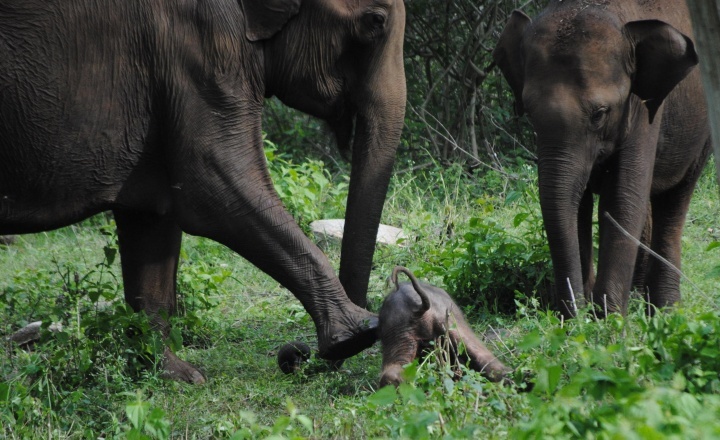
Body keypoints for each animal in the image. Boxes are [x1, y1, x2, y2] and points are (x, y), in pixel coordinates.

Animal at [0, 0, 404, 384]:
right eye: (375, 21)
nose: (297, 355)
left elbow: (153, 220)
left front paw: (176, 376)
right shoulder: (200, 49)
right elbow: (217, 189)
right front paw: (358, 332)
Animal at [492, 0, 712, 316]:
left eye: (599, 114)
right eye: (530, 113)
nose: (571, 313)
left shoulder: (643, 110)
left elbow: (621, 199)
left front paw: (607, 318)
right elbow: (579, 204)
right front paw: (584, 314)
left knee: (674, 200)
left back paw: (665, 310)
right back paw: (638, 298)